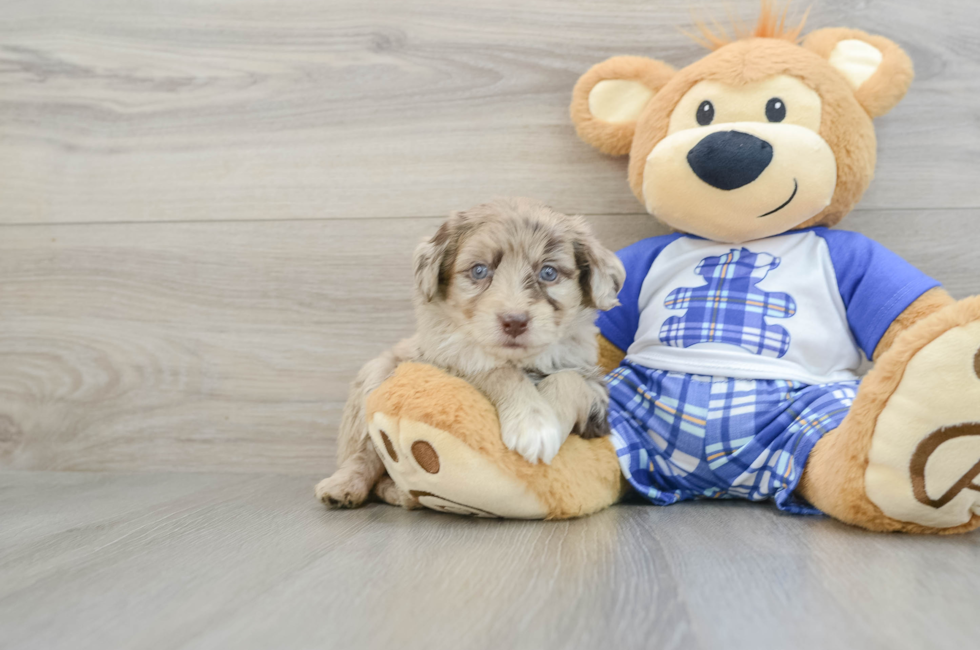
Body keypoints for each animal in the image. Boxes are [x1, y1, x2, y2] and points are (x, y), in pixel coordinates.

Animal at [318, 197, 624, 506]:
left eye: (548, 272)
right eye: (479, 270)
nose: (515, 321)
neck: (521, 361)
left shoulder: (595, 396)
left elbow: (568, 378)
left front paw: (548, 423)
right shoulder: (446, 364)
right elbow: (496, 372)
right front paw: (532, 422)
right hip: (376, 374)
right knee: (365, 451)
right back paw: (344, 487)